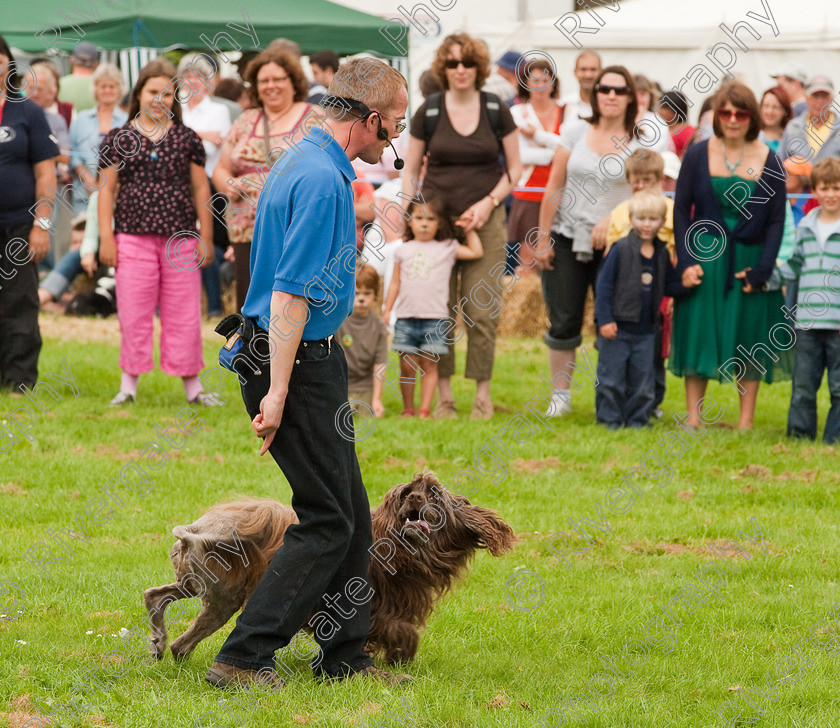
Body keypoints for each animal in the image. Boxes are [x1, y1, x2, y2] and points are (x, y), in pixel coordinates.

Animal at [144, 472, 512, 664]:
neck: (400, 549)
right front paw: (398, 657)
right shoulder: (368, 608)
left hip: (209, 589)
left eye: (433, 493)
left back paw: (164, 644)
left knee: (158, 601)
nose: (414, 499)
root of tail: (197, 528)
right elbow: (402, 632)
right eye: (409, 491)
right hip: (219, 587)